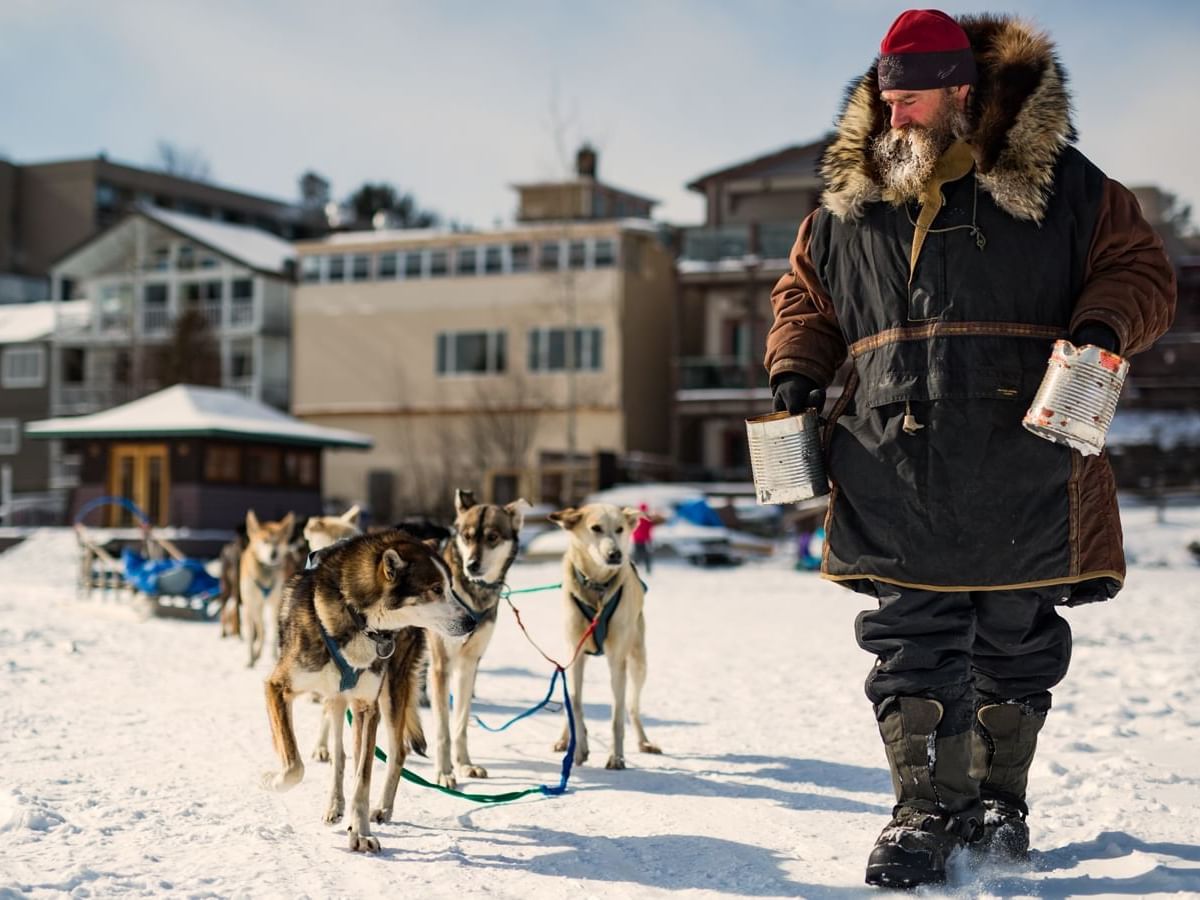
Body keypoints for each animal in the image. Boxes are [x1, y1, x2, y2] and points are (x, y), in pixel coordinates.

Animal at [261, 532, 472, 854]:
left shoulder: (366, 705)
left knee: (396, 752)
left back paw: (381, 808)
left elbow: (363, 777)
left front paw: (360, 832)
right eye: (436, 589)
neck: (358, 619)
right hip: (337, 698)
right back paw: (335, 805)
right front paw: (273, 781)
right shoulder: (277, 687)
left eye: (450, 586)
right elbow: (294, 763)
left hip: (389, 693)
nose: (472, 621)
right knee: (338, 753)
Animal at [429, 487, 528, 787]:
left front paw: (464, 765)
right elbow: (443, 728)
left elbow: (460, 723)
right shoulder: (442, 666)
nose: (472, 565)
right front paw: (443, 772)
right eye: (467, 536)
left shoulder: (468, 665)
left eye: (492, 537)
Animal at [549, 504, 662, 772]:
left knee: (632, 706)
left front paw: (616, 757)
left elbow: (616, 717)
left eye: (619, 529)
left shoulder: (617, 661)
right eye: (596, 528)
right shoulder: (576, 657)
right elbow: (576, 705)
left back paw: (644, 742)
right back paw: (564, 740)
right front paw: (579, 748)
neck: (597, 587)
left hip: (638, 662)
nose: (615, 554)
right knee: (570, 702)